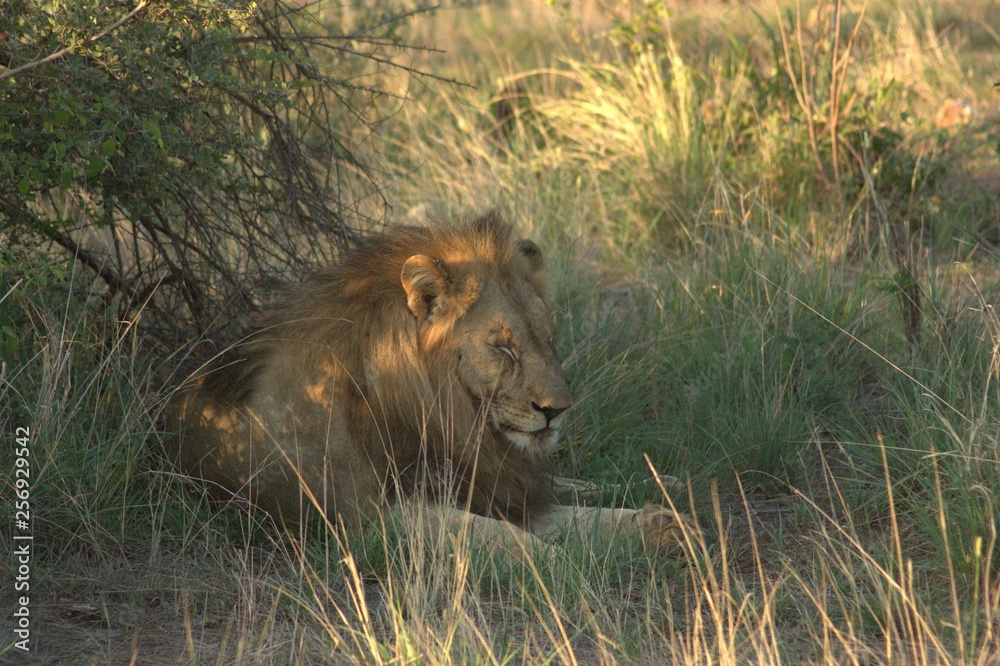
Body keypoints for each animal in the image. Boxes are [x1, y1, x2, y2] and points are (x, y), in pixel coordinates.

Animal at [163, 211, 684, 554]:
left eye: (549, 339)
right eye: (504, 348)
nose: (557, 410)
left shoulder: (483, 482)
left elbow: (575, 515)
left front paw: (660, 526)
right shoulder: (372, 517)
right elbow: (502, 535)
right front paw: (560, 565)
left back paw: (667, 482)